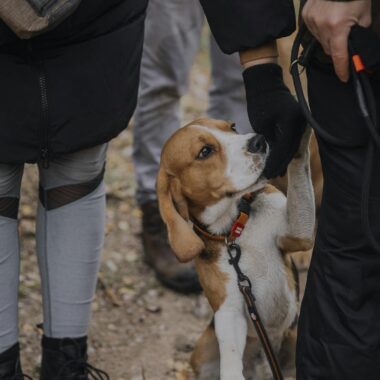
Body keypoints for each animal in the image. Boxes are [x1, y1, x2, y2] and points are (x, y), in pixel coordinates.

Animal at [157, 119, 314, 380]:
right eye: (205, 151)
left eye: (231, 127)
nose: (259, 141)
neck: (234, 230)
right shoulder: (228, 309)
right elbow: (230, 353)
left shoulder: (299, 233)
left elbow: (300, 166)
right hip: (201, 353)